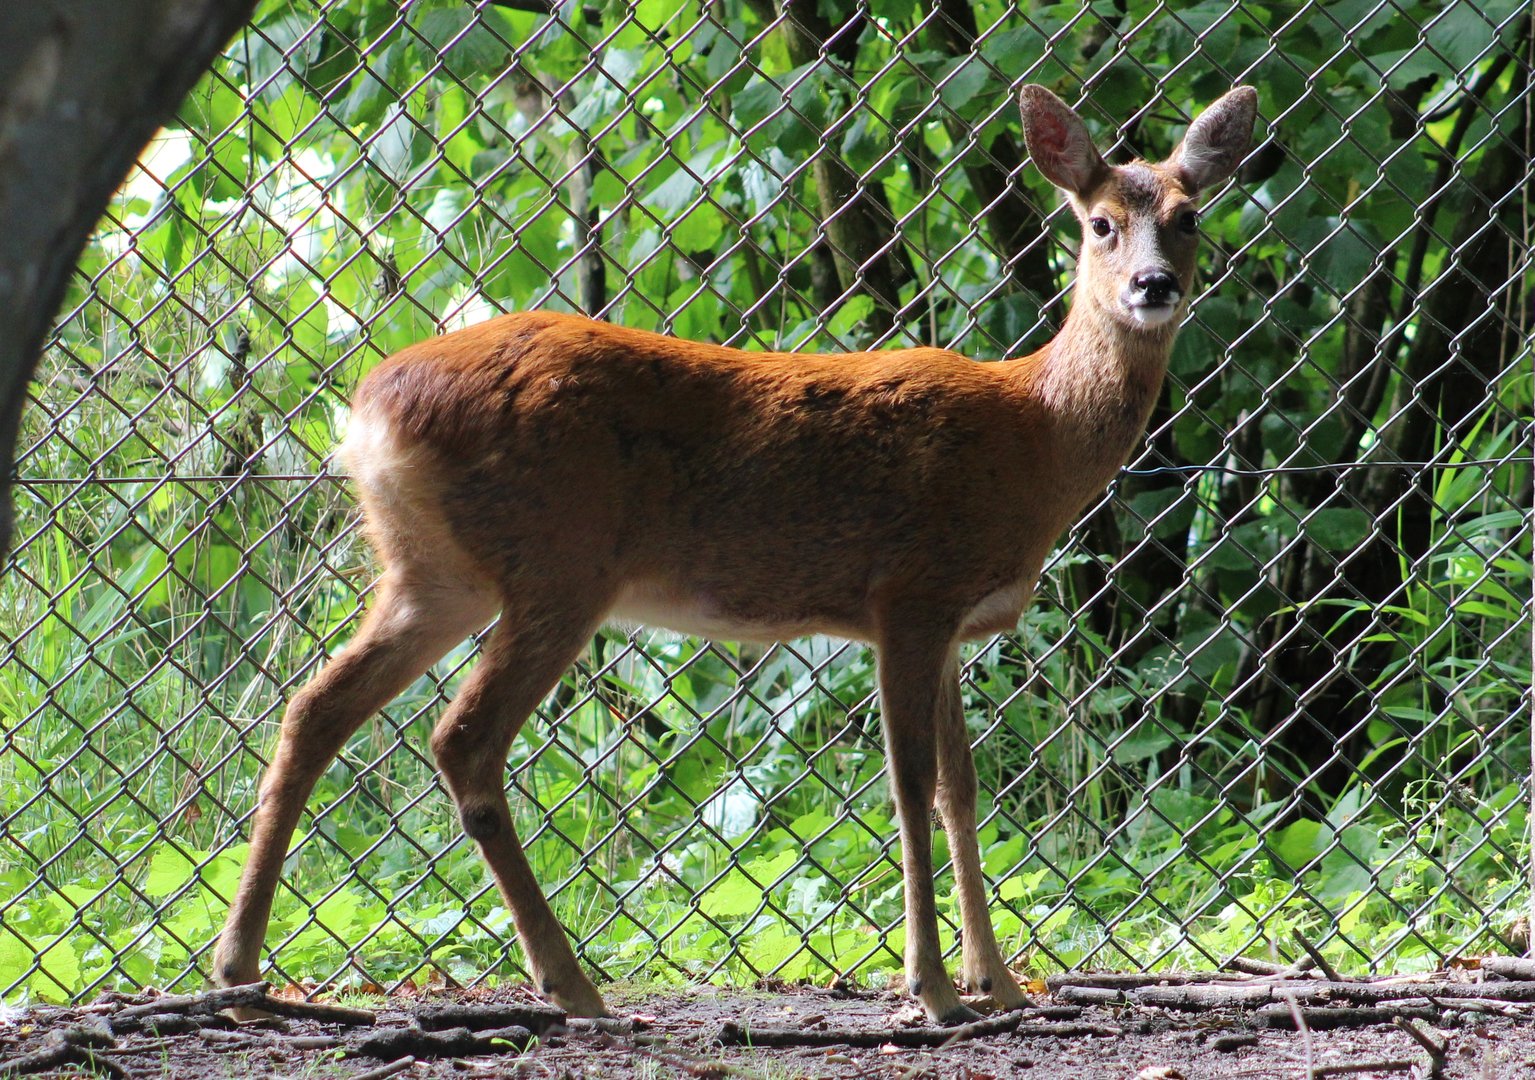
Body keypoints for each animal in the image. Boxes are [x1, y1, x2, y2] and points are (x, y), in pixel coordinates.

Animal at [212, 84, 1257, 1024]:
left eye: (1188, 217)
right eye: (1098, 224)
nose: (1152, 287)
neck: (1034, 434)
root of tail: (368, 410)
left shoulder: (954, 622)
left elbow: (961, 791)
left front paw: (994, 983)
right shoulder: (909, 591)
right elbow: (910, 784)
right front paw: (932, 990)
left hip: (435, 575)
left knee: (314, 707)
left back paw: (239, 966)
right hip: (560, 564)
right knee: (461, 737)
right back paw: (571, 986)